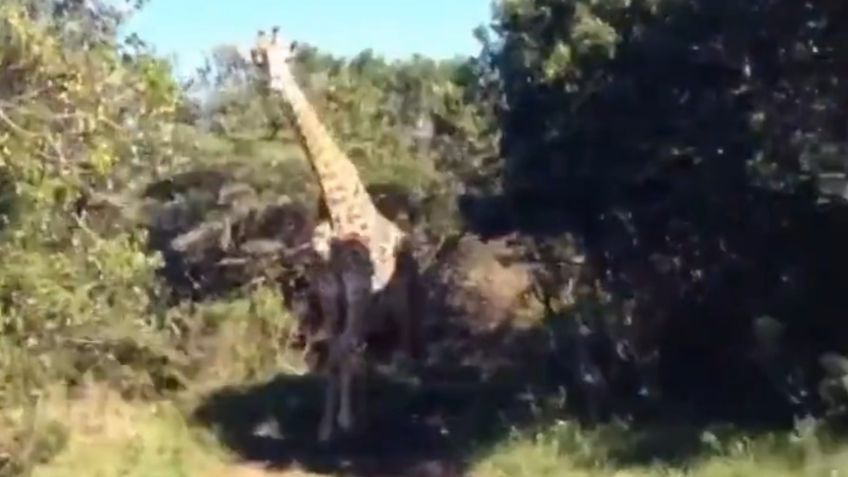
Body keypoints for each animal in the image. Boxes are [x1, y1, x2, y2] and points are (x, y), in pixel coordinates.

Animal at [248, 27, 420, 440]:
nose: (275, 83)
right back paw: (364, 410)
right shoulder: (328, 289)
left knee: (395, 341)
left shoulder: (356, 287)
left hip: (398, 297)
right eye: (260, 59)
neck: (334, 201)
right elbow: (331, 350)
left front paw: (343, 421)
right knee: (358, 346)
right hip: (371, 302)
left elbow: (341, 348)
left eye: (286, 57)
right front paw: (327, 426)